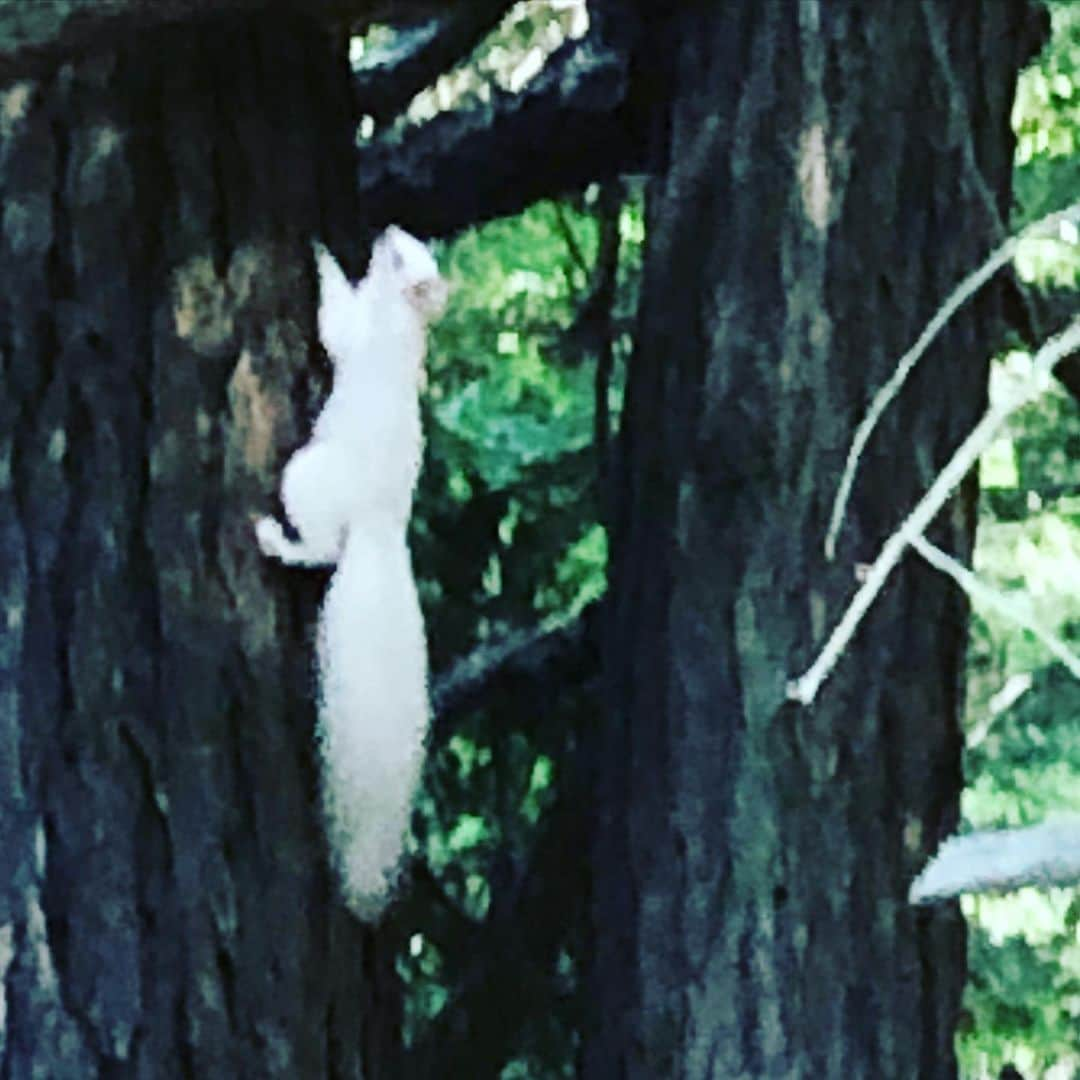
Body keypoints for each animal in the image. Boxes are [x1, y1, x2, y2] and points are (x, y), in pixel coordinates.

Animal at [253, 227, 447, 920]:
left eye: (399, 258)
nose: (386, 232)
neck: (402, 318)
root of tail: (375, 530)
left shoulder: (357, 333)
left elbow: (333, 319)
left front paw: (318, 256)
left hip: (306, 474)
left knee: (318, 550)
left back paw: (275, 540)